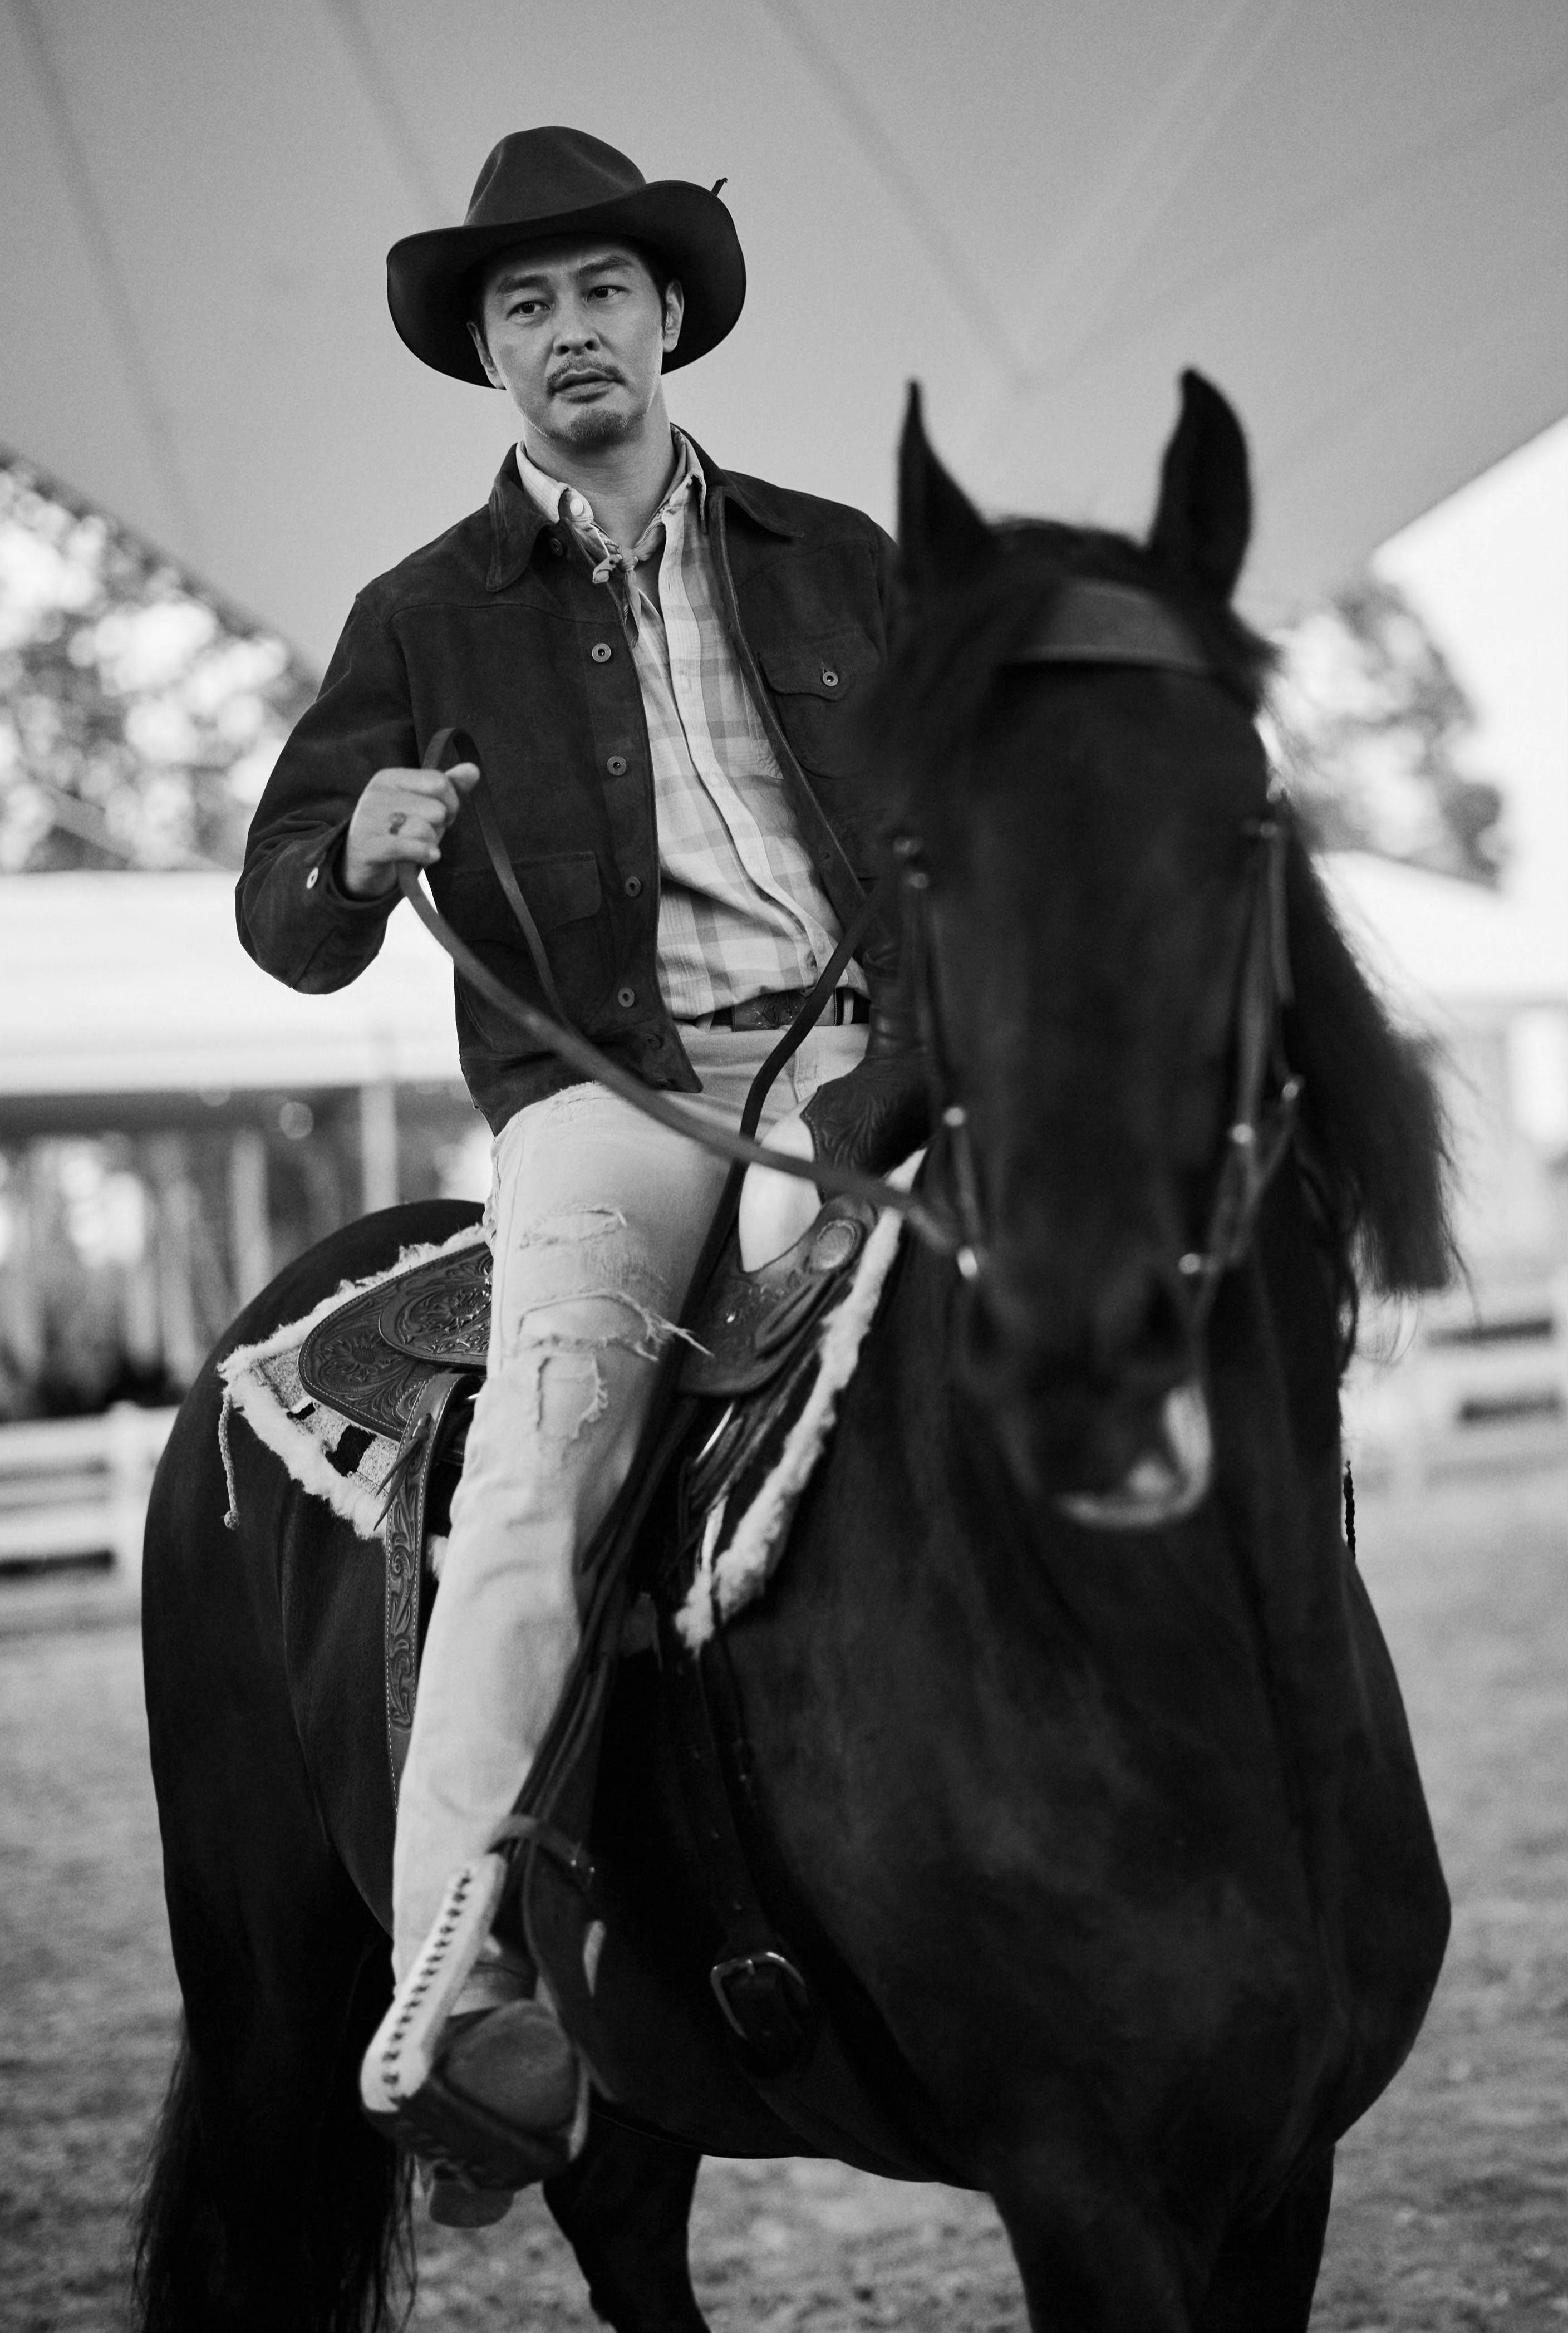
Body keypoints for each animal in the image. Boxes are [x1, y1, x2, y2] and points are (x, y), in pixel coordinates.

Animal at [134, 372, 1453, 2333]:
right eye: (922, 848)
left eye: (1249, 820)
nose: (1080, 1338)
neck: (1190, 1656)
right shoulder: (1084, 2186)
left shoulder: (1288, 2175)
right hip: (268, 2005)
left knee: (618, 2210)